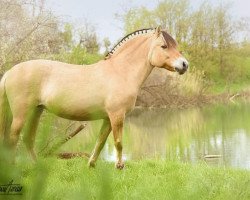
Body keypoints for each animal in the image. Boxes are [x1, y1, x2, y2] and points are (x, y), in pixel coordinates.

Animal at [0, 26, 188, 169]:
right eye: (164, 46)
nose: (184, 64)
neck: (120, 71)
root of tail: (10, 72)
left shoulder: (107, 118)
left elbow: (100, 142)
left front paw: (91, 165)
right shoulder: (117, 116)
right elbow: (118, 142)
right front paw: (120, 167)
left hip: (36, 111)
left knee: (28, 139)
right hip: (21, 114)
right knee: (13, 138)